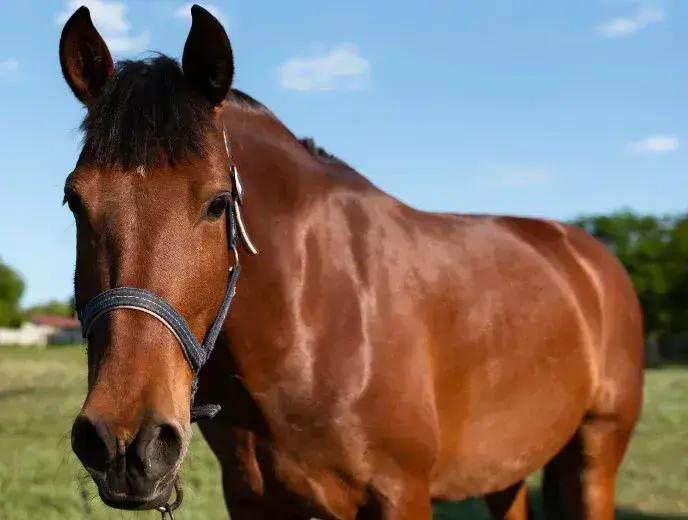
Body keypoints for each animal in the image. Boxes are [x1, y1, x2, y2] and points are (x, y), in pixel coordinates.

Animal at [60, 5, 644, 519]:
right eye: (74, 200)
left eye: (218, 203)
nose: (126, 443)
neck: (315, 320)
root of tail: (591, 257)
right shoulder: (252, 500)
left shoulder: (401, 494)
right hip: (507, 468)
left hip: (595, 453)